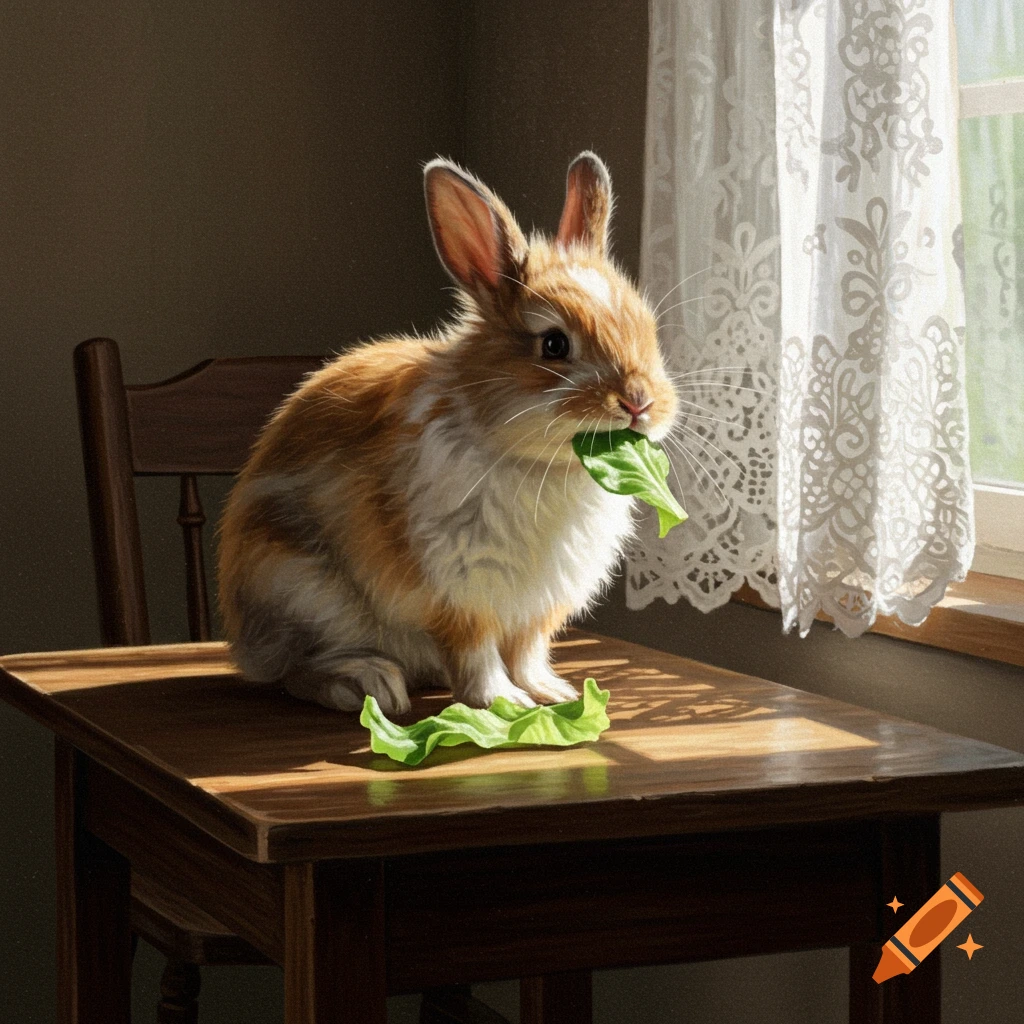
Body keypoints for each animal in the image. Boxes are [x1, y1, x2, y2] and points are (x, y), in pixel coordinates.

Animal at [217, 151, 678, 715]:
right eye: (553, 344)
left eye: (646, 328)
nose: (639, 402)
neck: (537, 463)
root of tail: (244, 641)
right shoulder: (459, 587)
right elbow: (476, 648)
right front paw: (503, 703)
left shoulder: (537, 606)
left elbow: (527, 650)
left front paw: (551, 693)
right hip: (300, 590)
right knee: (293, 671)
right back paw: (369, 683)